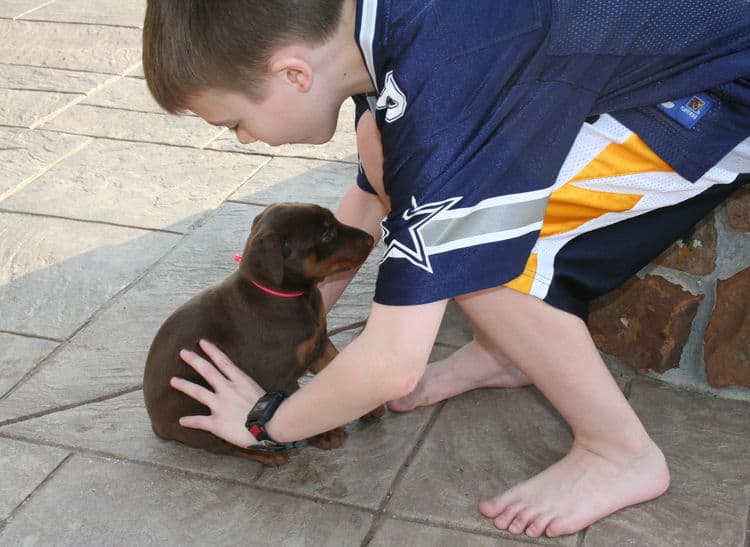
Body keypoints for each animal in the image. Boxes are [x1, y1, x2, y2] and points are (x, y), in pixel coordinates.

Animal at [144, 202, 382, 466]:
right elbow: (294, 401)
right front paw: (326, 434)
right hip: (197, 407)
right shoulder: (278, 374)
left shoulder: (319, 343)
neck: (289, 296)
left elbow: (337, 364)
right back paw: (266, 453)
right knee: (225, 443)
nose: (370, 238)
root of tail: (156, 424)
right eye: (326, 235)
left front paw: (367, 401)